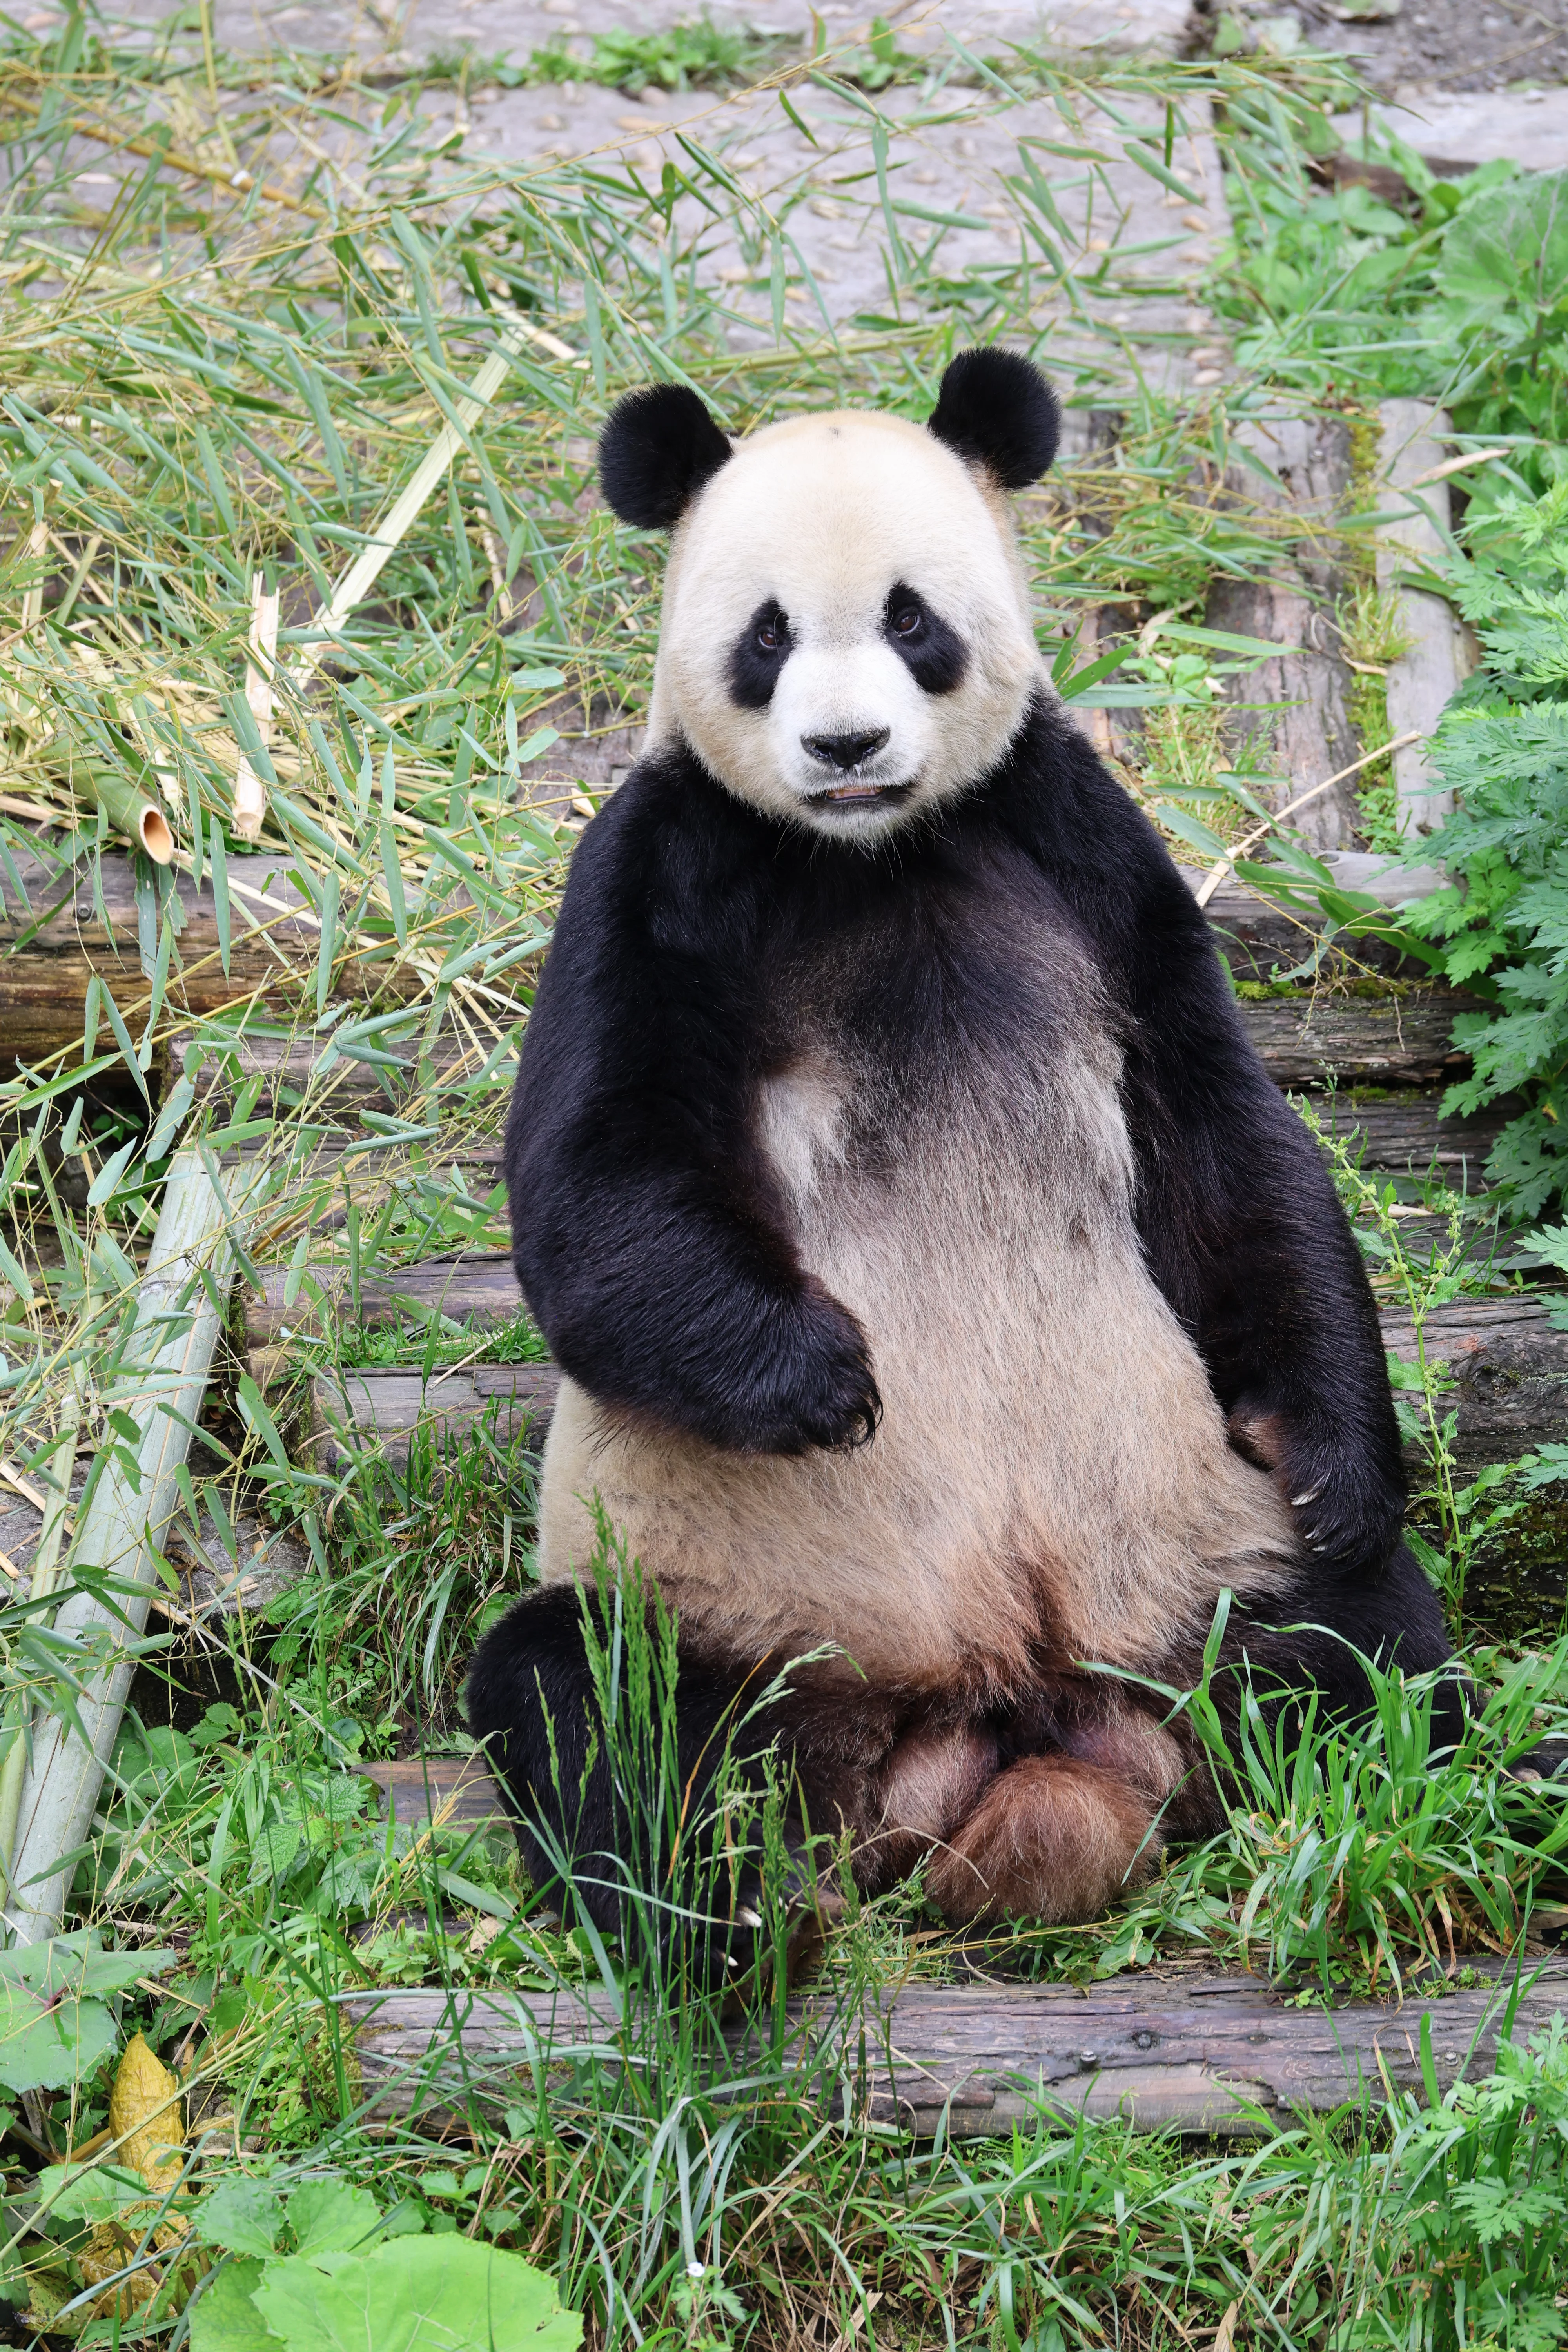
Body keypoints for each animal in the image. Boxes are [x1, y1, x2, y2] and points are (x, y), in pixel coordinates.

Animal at [467, 346, 1457, 1955]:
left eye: (909, 620)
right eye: (765, 637)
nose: (845, 745)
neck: (870, 852)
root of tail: (998, 1733)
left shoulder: (1074, 839)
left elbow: (1224, 1138)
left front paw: (1334, 1456)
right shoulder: (658, 862)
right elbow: (587, 1189)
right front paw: (821, 1379)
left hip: (1199, 1560)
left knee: (1366, 1631)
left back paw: (1410, 1803)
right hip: (735, 1621)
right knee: (585, 1698)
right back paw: (725, 1923)